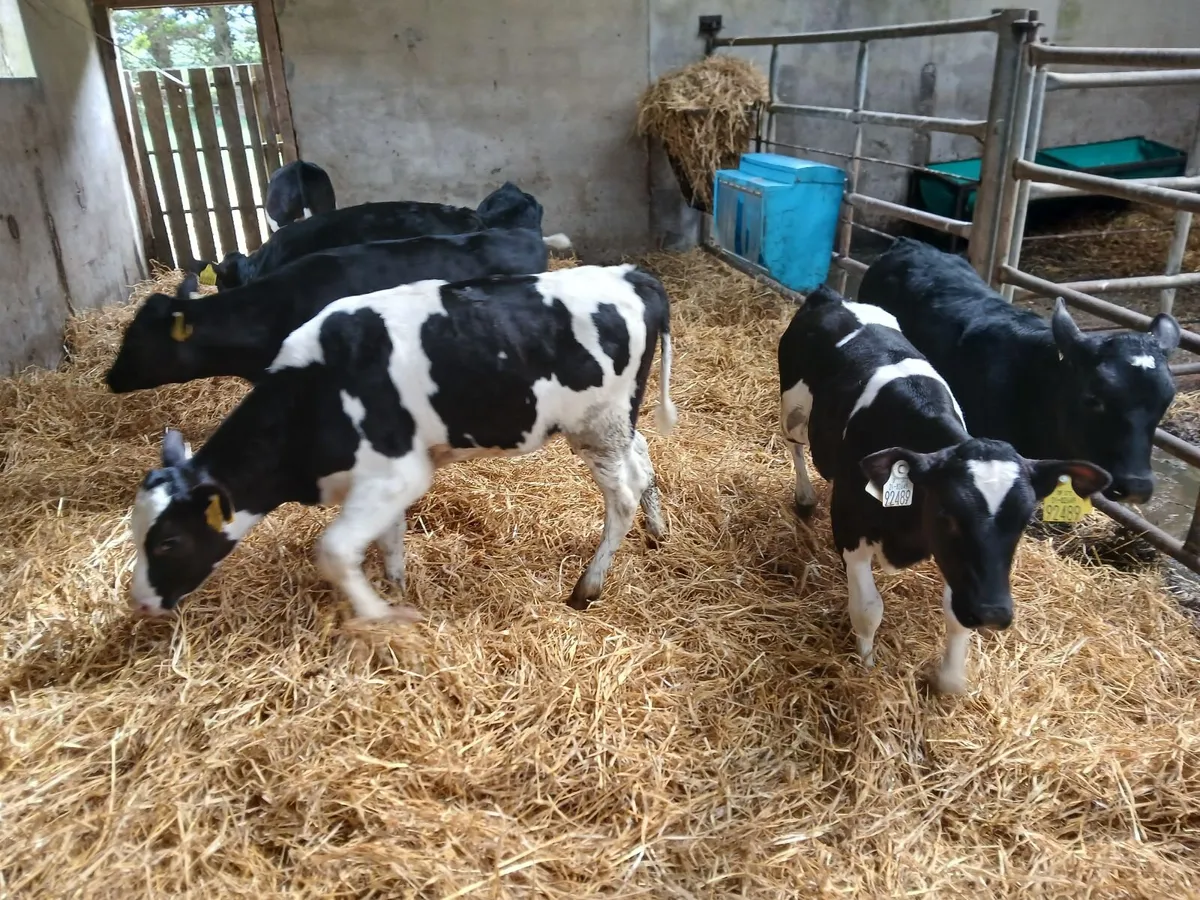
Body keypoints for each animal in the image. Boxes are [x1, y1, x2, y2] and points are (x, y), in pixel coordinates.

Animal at [127, 264, 677, 623]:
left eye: (169, 541)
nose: (141, 602)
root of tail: (632, 275)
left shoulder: (397, 473)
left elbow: (335, 550)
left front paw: (381, 616)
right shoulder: (378, 480)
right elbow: (388, 540)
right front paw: (398, 589)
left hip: (598, 424)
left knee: (621, 497)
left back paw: (588, 587)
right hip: (614, 425)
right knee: (643, 458)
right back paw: (657, 531)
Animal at [778, 286, 1109, 694]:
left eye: (1023, 520)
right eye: (947, 513)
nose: (992, 612)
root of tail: (833, 296)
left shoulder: (961, 566)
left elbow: (954, 615)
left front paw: (948, 679)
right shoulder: (850, 527)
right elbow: (868, 609)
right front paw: (866, 666)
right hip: (792, 407)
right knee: (795, 446)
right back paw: (805, 498)